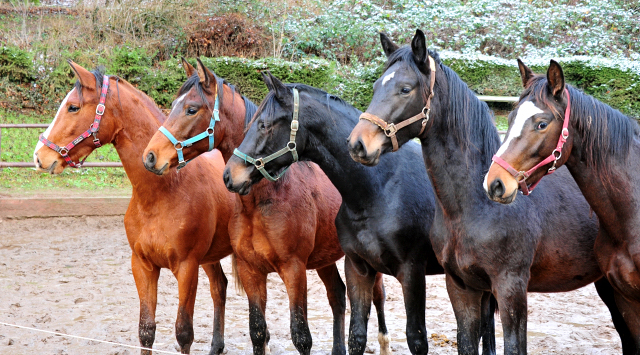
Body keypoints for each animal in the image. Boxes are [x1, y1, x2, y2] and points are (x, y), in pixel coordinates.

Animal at [31, 62, 235, 354]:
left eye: (72, 107)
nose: (39, 156)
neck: (164, 192)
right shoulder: (142, 266)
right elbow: (146, 330)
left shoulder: (187, 268)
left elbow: (184, 333)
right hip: (211, 256)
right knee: (219, 287)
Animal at [141, 59, 384, 355]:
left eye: (191, 109)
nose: (151, 156)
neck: (262, 201)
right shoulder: (252, 271)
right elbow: (257, 331)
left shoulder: (294, 269)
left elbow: (301, 336)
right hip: (325, 258)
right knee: (337, 295)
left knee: (377, 300)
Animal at [224, 70, 500, 355]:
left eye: (264, 125)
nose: (229, 175)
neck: (378, 189)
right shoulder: (358, 267)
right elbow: (356, 336)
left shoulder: (412, 272)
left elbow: (416, 338)